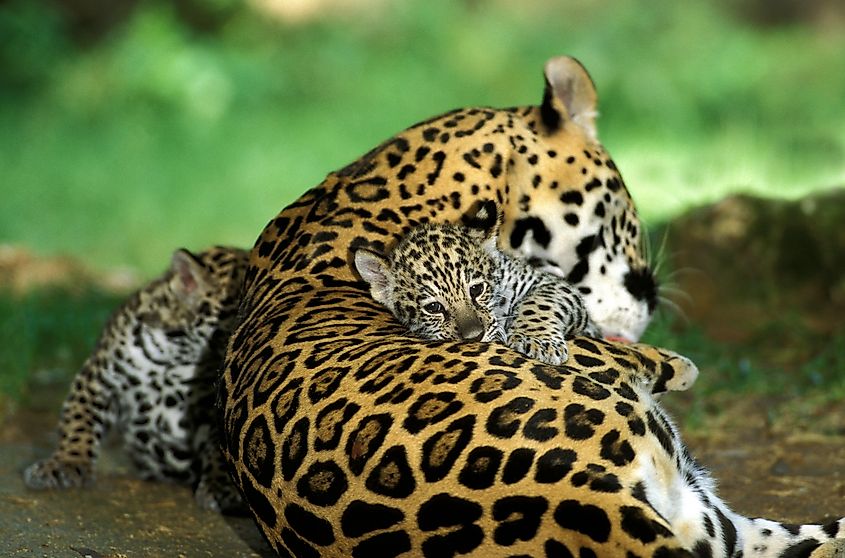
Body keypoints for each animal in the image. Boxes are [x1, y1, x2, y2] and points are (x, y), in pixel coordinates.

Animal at [24, 246, 248, 513]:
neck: (180, 356)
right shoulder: (98, 378)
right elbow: (78, 422)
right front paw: (65, 464)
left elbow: (221, 450)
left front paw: (221, 488)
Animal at [354, 200, 603, 366]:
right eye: (433, 307)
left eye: (476, 289)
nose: (474, 336)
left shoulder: (550, 284)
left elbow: (541, 303)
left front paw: (538, 341)